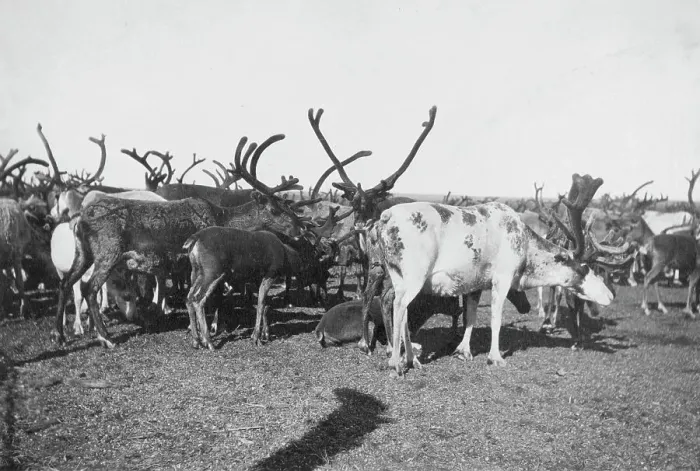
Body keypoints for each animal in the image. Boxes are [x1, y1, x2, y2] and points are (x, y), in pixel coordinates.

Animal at [51, 132, 321, 349]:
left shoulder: (191, 266)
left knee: (65, 282)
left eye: (287, 205)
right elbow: (213, 297)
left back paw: (60, 335)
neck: (223, 217)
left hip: (83, 253)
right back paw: (105, 337)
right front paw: (212, 331)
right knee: (89, 288)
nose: (301, 227)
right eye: (275, 210)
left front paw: (197, 331)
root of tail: (80, 219)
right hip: (108, 253)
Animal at [370, 174, 633, 374]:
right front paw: (495, 356)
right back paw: (396, 362)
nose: (609, 296)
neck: (526, 253)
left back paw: (412, 359)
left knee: (396, 305)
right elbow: (495, 318)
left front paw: (463, 350)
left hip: (396, 274)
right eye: (584, 268)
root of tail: (384, 219)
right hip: (413, 275)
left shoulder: (476, 283)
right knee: (397, 304)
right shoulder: (502, 277)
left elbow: (471, 316)